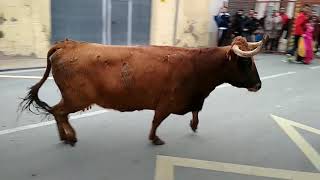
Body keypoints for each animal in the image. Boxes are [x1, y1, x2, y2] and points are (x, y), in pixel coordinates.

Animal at [19, 35, 268, 146]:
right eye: (246, 62)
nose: (258, 85)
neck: (196, 66)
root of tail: (68, 44)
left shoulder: (191, 99)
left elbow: (196, 112)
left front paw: (194, 125)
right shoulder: (167, 102)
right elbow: (157, 120)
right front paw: (154, 138)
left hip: (73, 97)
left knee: (57, 112)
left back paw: (65, 136)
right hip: (76, 98)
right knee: (59, 112)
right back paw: (70, 137)